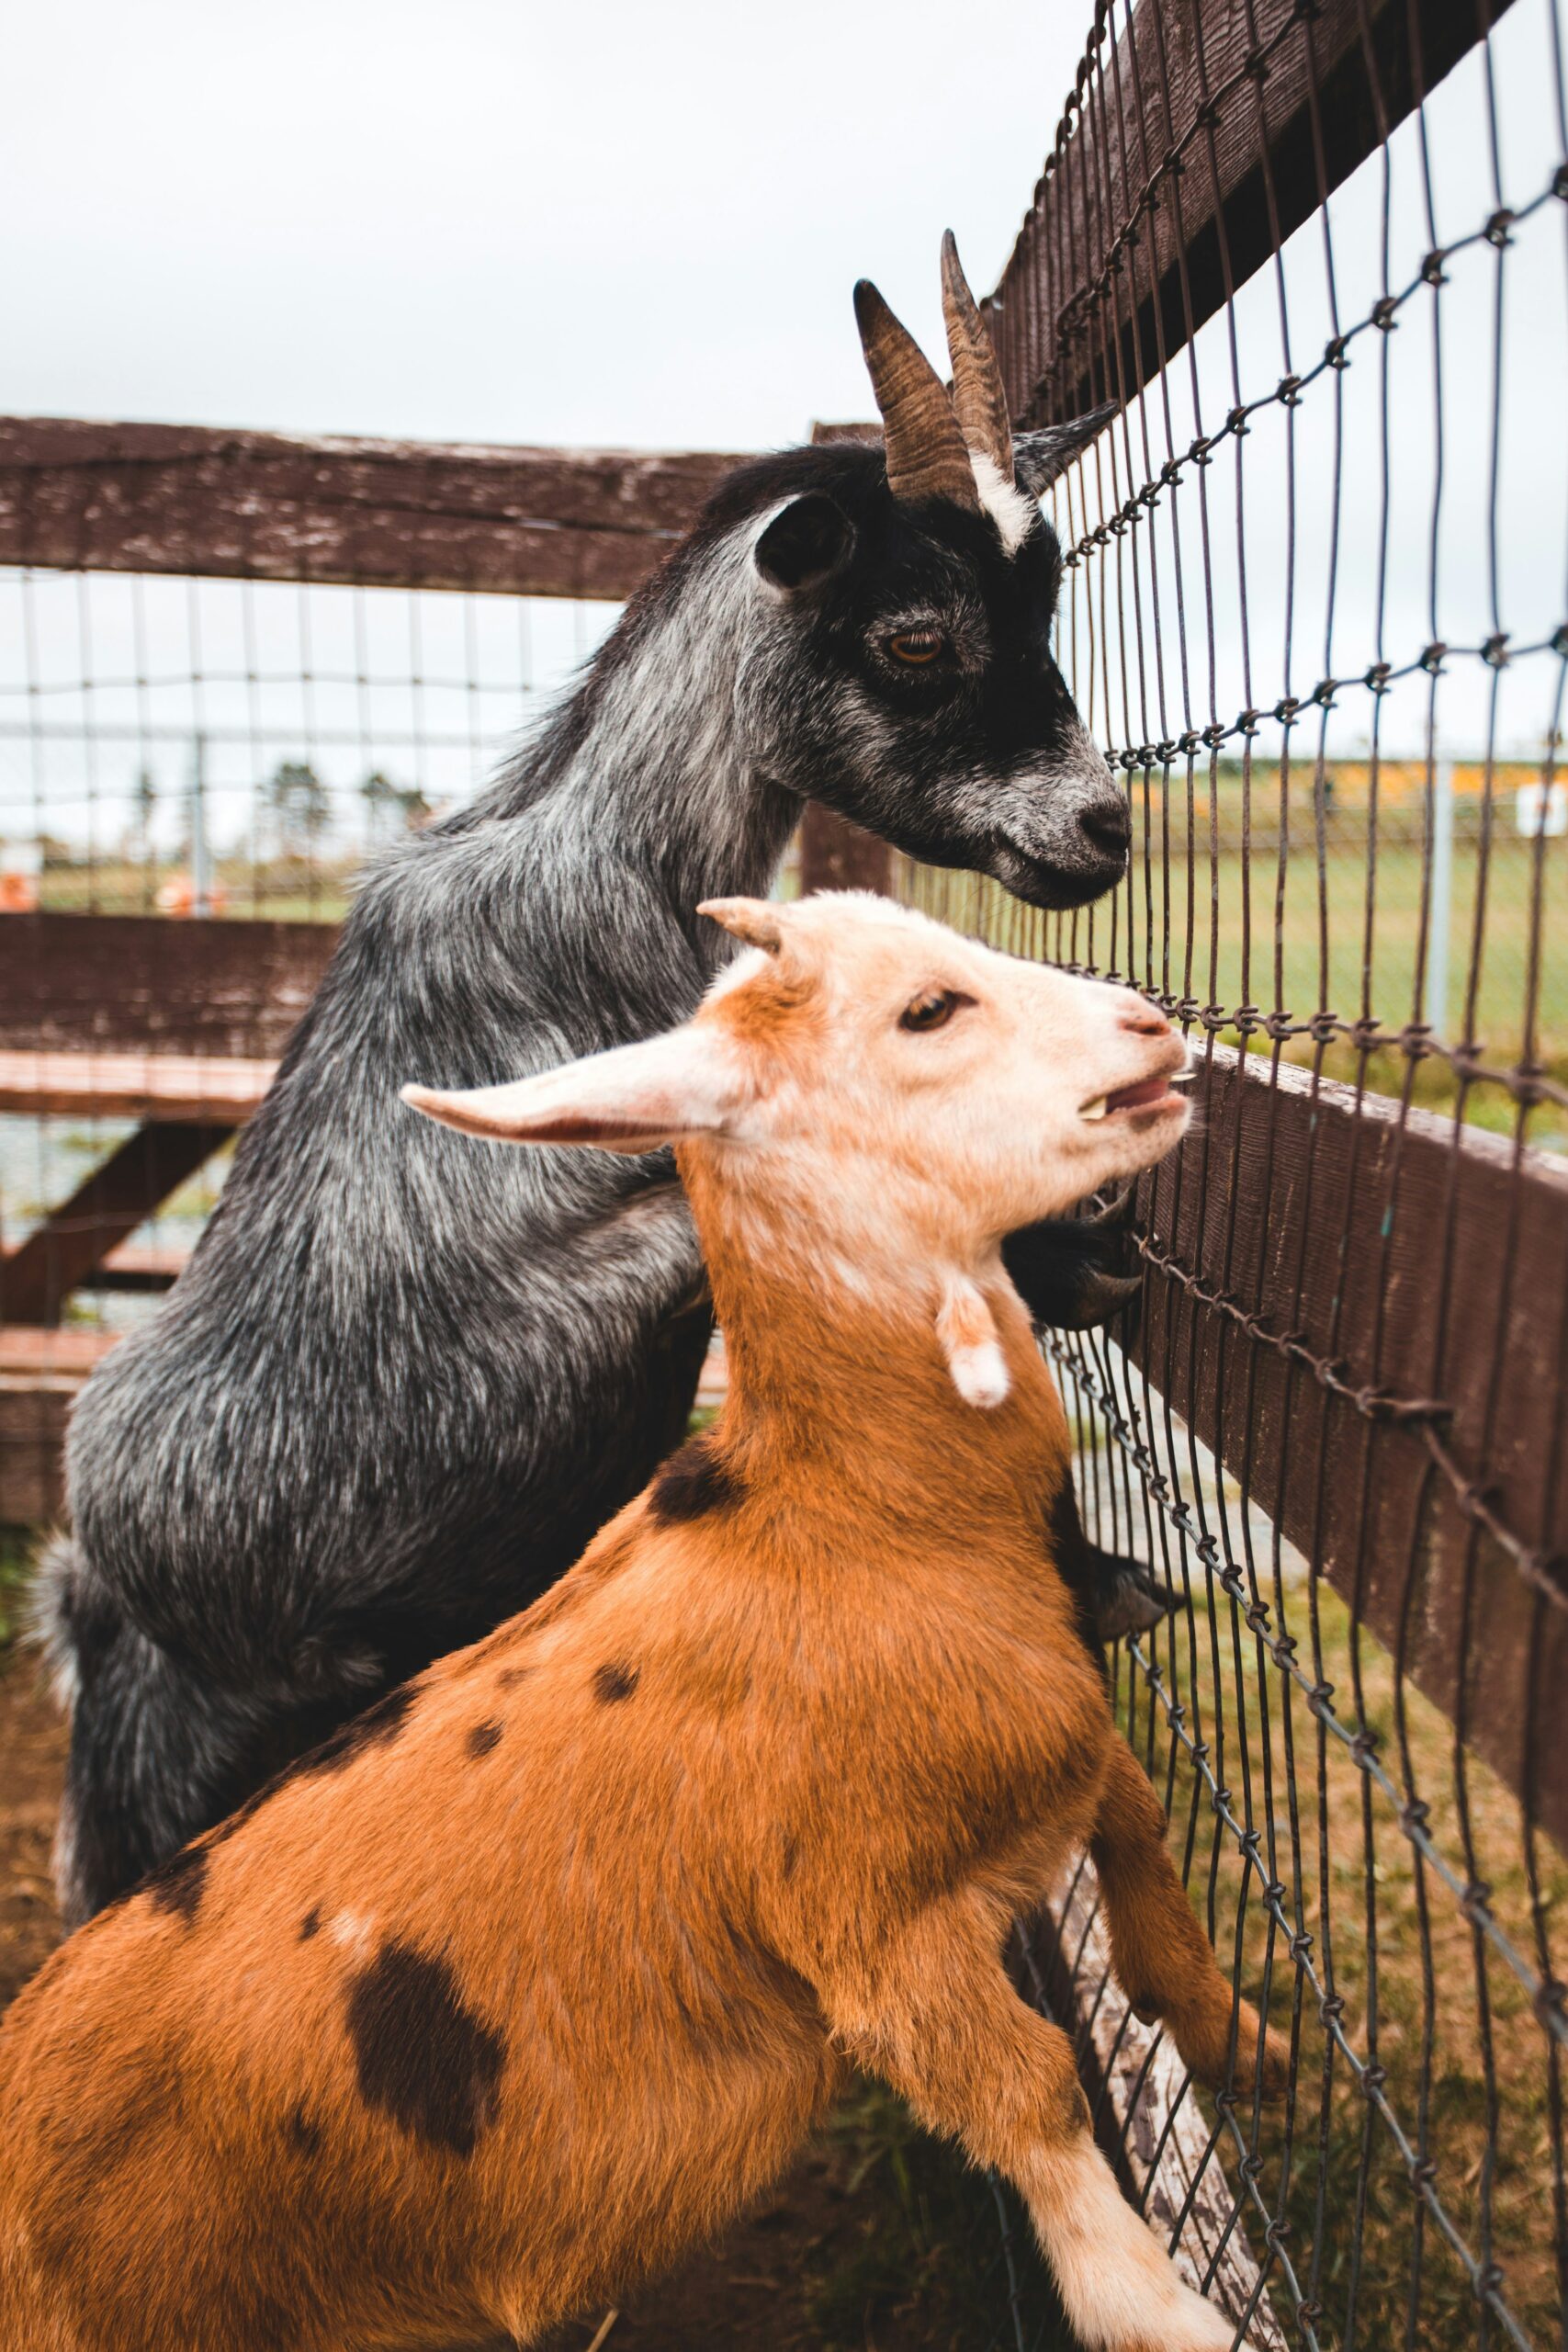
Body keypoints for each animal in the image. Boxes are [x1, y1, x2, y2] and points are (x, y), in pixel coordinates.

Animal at [2, 891, 1285, 2352]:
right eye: (926, 1012)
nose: (1152, 1027)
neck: (847, 1519)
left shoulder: (1048, 1752)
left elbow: (1136, 1827)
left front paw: (1238, 2037)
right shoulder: (872, 1929)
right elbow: (1027, 2088)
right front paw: (1164, 2308)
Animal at [43, 237, 1161, 1928]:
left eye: (1046, 612)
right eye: (915, 636)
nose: (1097, 827)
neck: (613, 888)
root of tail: (85, 1591)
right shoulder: (526, 1289)